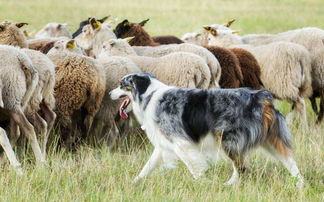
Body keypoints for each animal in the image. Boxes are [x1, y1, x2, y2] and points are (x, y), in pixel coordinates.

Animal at [109, 72, 304, 186]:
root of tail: (261, 97)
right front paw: (134, 182)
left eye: (121, 84)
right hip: (269, 139)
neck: (148, 95)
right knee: (289, 160)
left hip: (228, 139)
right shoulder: (164, 143)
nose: (109, 93)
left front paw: (203, 182)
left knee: (241, 167)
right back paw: (299, 183)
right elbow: (147, 167)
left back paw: (228, 185)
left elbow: (194, 166)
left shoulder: (181, 142)